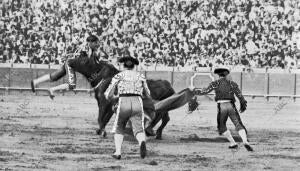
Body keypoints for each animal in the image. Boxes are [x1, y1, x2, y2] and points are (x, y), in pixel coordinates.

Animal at [49, 54, 195, 139]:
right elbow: (104, 118)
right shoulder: (107, 104)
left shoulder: (104, 103)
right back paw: (156, 133)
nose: (69, 61)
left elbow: (100, 117)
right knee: (165, 119)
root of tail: (168, 84)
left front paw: (102, 131)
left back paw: (150, 131)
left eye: (84, 60)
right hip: (166, 107)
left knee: (160, 117)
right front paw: (100, 130)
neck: (103, 77)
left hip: (162, 106)